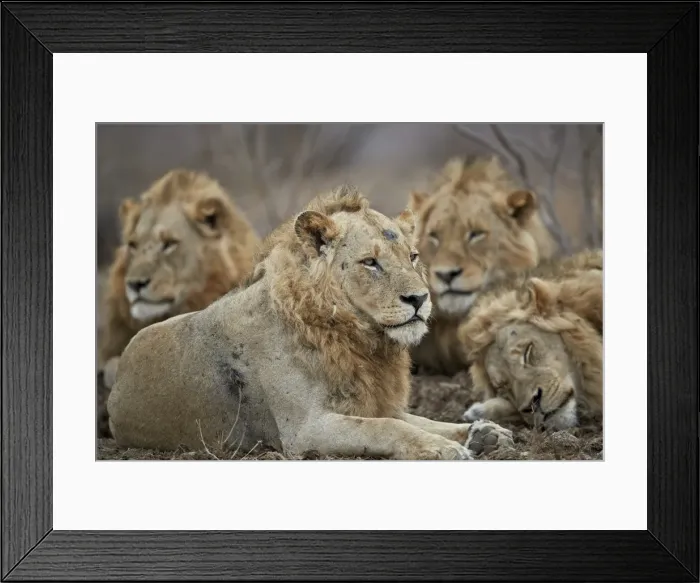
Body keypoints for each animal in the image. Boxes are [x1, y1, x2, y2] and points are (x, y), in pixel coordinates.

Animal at [106, 186, 514, 460]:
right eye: (370, 262)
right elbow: (388, 428)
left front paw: (483, 433)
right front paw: (441, 448)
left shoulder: (374, 402)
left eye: (412, 256)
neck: (359, 340)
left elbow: (420, 420)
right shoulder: (305, 430)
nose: (419, 299)